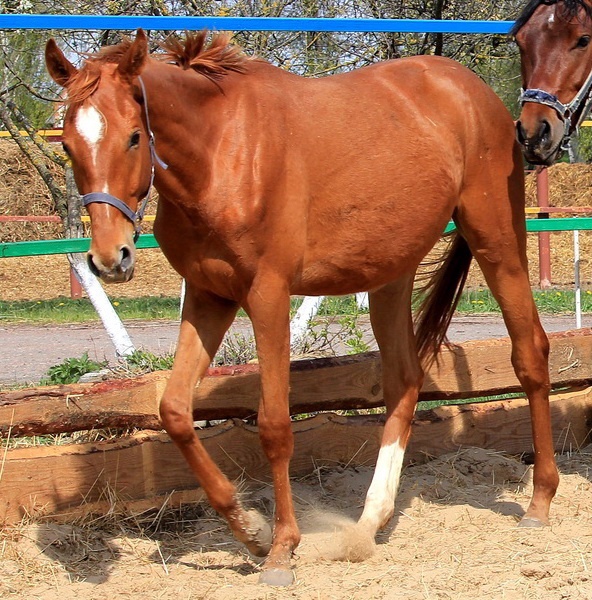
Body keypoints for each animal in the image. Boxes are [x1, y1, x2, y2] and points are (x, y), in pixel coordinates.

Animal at [45, 30, 558, 586]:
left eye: (135, 137)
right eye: (68, 145)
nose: (109, 258)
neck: (220, 153)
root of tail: (475, 92)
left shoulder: (267, 295)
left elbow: (274, 425)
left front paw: (280, 551)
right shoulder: (208, 295)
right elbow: (175, 411)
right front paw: (250, 529)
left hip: (497, 241)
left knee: (530, 352)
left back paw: (539, 502)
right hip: (390, 274)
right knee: (404, 381)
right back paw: (368, 522)